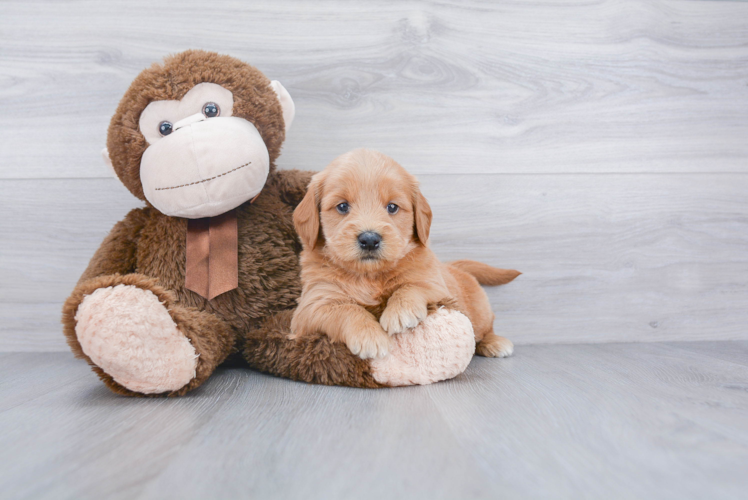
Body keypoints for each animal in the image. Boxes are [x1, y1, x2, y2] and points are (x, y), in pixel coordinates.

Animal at [292, 148, 520, 360]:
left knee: (485, 328)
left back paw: (495, 342)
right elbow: (346, 309)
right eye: (342, 206)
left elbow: (411, 286)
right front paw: (370, 337)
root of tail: (452, 266)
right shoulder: (312, 305)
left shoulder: (435, 285)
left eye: (392, 207)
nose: (369, 239)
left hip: (480, 311)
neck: (369, 276)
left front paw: (399, 312)